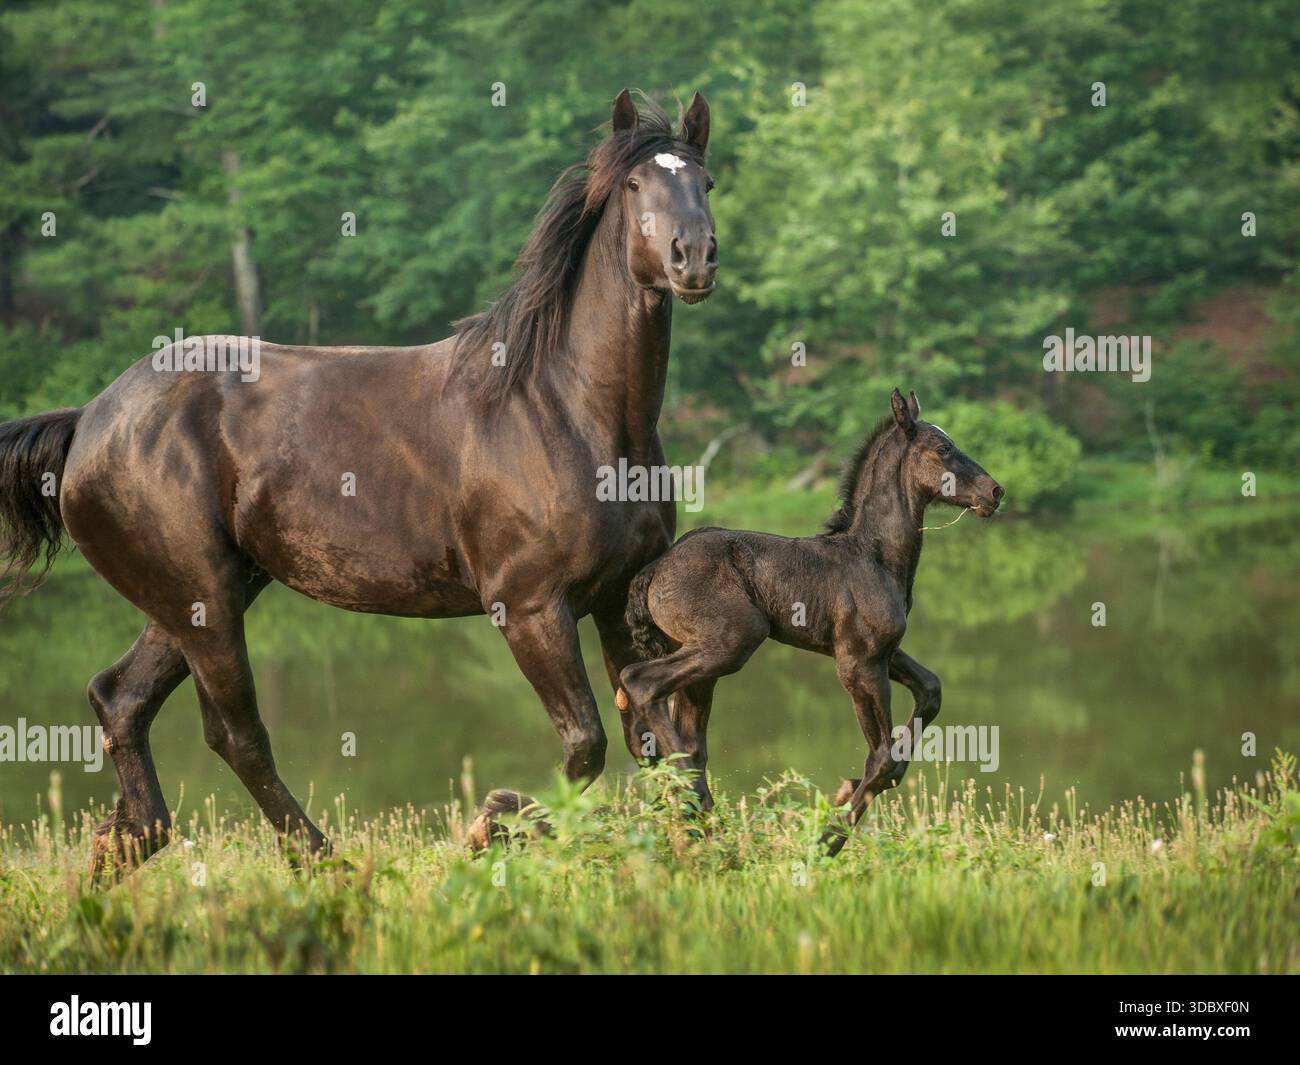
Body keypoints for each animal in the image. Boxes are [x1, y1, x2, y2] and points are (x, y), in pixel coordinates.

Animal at [0, 89, 717, 877]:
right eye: (634, 185)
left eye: (707, 182)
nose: (694, 258)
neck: (564, 407)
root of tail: (89, 421)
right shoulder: (531, 606)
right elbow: (586, 742)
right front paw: (489, 825)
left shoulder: (618, 598)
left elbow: (660, 746)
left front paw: (700, 847)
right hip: (208, 601)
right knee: (235, 733)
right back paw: (318, 860)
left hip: (195, 596)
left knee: (120, 699)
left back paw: (124, 844)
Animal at [618, 389, 1003, 855]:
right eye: (944, 448)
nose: (996, 491)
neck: (874, 555)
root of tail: (654, 570)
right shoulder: (857, 661)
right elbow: (882, 759)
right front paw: (827, 841)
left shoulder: (882, 651)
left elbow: (929, 691)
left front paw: (841, 798)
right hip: (733, 641)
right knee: (640, 682)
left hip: (700, 662)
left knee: (692, 741)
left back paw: (706, 830)